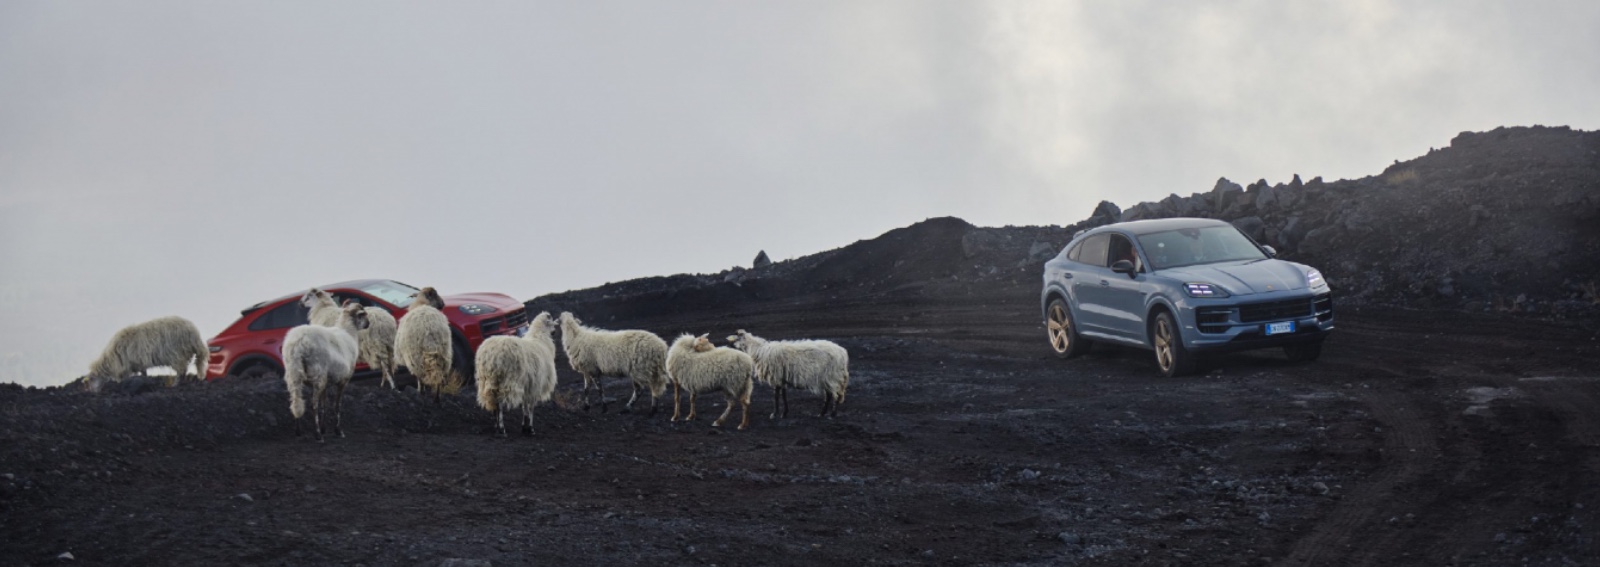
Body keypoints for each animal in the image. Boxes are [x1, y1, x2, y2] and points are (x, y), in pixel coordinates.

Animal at [281, 302, 371, 442]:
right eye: (364, 315)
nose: (368, 324)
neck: (349, 332)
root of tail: (298, 343)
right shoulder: (343, 381)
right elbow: (337, 405)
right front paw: (338, 431)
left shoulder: (326, 383)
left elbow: (324, 405)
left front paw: (324, 429)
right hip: (318, 375)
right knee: (313, 405)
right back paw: (317, 434)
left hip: (294, 374)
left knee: (296, 400)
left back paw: (298, 431)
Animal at [470, 310, 560, 438]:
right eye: (552, 324)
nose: (554, 333)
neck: (540, 338)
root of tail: (491, 355)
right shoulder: (535, 385)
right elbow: (531, 408)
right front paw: (530, 429)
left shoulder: (527, 385)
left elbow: (524, 407)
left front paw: (524, 427)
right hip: (506, 380)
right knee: (500, 403)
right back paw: (502, 429)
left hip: (488, 380)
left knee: (493, 403)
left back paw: (496, 427)